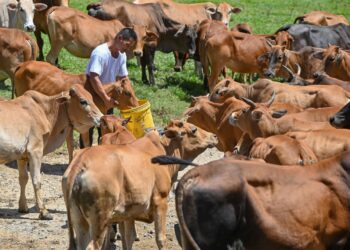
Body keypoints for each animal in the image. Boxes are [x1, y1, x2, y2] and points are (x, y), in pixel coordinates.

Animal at [0, 85, 103, 220]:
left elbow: (23, 179)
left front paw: (23, 207)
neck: (43, 110)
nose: (101, 118)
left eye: (91, 97)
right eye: (83, 101)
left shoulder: (21, 156)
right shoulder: (35, 151)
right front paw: (44, 212)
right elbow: (36, 181)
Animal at [61, 120, 217, 249]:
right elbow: (161, 238)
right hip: (100, 219)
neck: (162, 147)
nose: (214, 136)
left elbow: (128, 239)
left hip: (80, 221)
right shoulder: (160, 201)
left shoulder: (128, 213)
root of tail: (80, 162)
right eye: (194, 129)